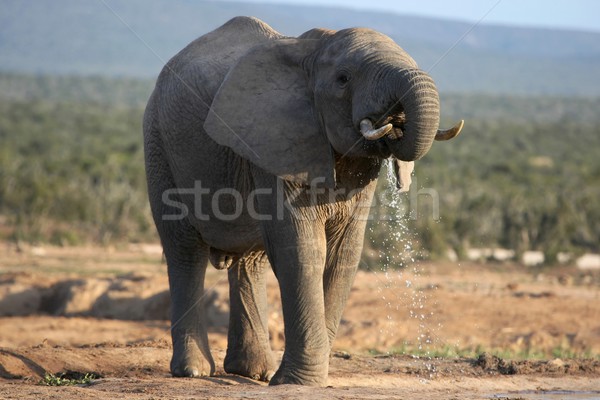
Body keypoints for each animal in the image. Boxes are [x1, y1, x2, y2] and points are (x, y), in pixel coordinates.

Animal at [143, 17, 462, 386]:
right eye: (343, 79)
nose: (394, 121)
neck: (311, 54)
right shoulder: (276, 138)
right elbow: (302, 247)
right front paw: (299, 382)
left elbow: (343, 252)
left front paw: (300, 377)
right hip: (158, 142)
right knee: (185, 250)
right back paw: (194, 371)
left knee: (251, 260)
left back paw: (256, 372)